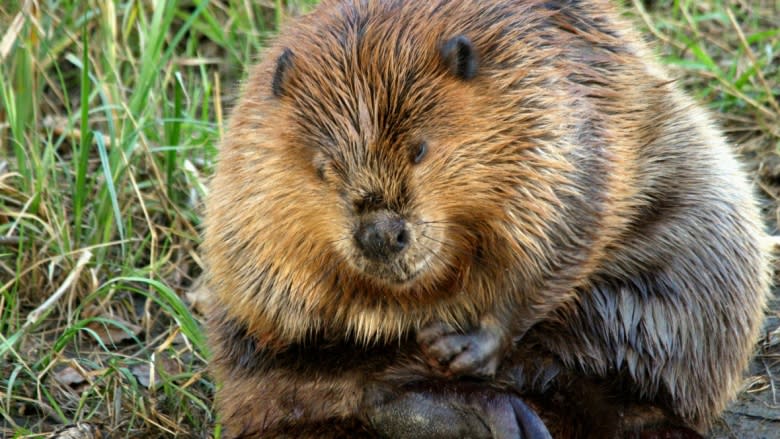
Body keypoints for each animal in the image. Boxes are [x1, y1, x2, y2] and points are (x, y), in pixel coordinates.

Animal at [203, 0, 772, 436]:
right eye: (324, 167)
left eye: (419, 149)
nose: (381, 235)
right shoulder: (247, 175)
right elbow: (281, 300)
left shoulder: (559, 117)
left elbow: (563, 235)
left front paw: (463, 345)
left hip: (708, 223)